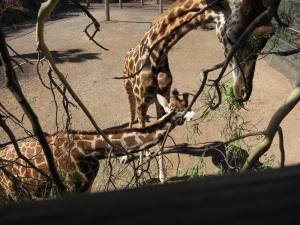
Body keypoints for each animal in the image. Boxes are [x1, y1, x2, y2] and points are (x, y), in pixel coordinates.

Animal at [0, 89, 192, 200]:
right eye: (183, 110)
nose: (189, 117)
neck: (89, 150)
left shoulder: (87, 186)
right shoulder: (71, 188)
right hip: (14, 191)